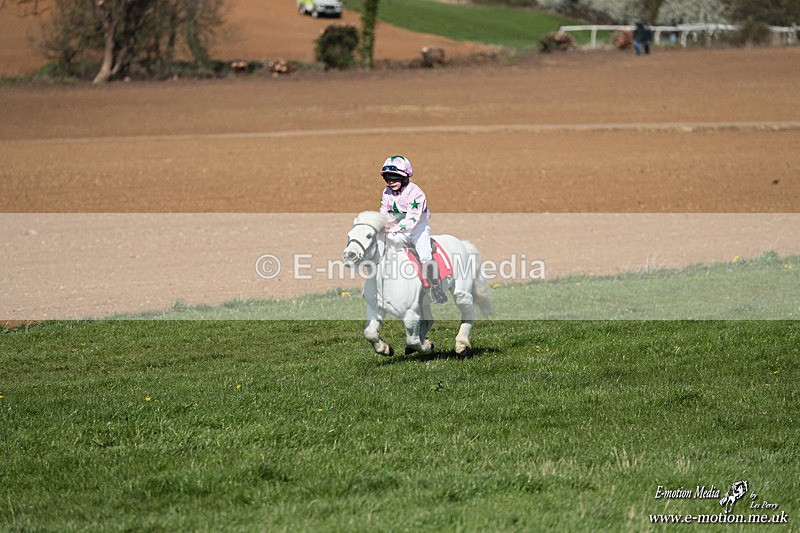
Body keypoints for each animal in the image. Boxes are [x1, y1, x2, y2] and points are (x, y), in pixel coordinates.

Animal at [342, 211, 493, 357]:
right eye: (349, 236)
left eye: (369, 235)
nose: (348, 255)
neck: (385, 278)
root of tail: (462, 243)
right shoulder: (375, 309)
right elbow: (370, 333)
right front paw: (385, 349)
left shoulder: (409, 314)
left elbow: (413, 340)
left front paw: (427, 346)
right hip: (424, 302)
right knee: (429, 319)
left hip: (461, 292)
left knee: (468, 310)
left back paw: (461, 345)